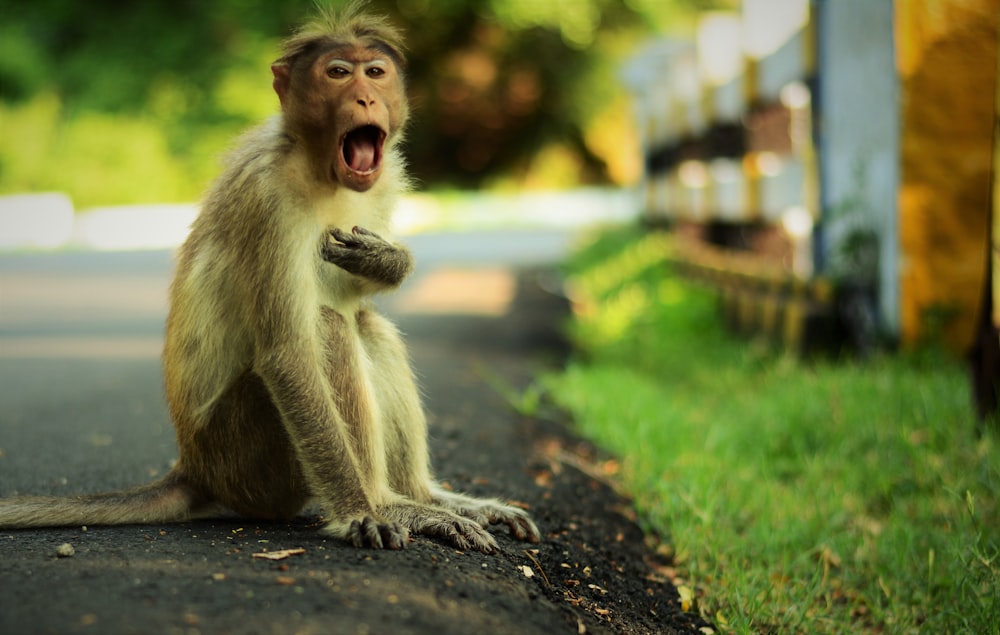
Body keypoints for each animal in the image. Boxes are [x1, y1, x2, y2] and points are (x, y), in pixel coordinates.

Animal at [0, 1, 540, 556]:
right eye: (338, 73)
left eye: (375, 72)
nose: (366, 97)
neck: (317, 164)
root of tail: (195, 467)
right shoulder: (270, 201)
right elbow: (286, 355)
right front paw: (360, 513)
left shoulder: (384, 177)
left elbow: (356, 291)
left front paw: (387, 260)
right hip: (247, 457)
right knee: (328, 328)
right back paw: (388, 504)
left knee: (365, 324)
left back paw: (426, 497)